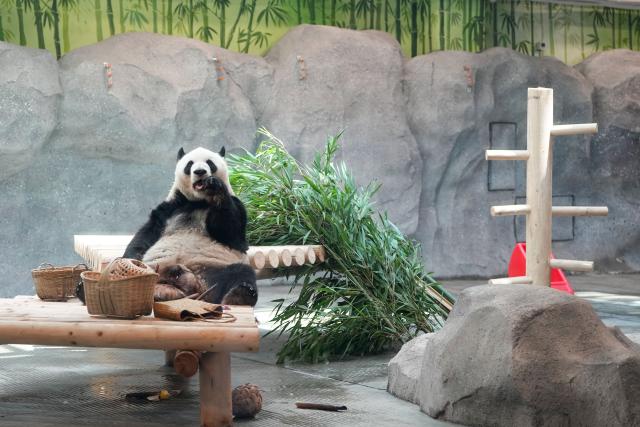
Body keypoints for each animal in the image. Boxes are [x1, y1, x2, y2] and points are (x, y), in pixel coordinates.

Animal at [121, 146, 258, 306]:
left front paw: (215, 187)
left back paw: (239, 295)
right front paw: (131, 261)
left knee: (240, 272)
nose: (200, 171)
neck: (198, 201)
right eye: (189, 164)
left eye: (210, 163)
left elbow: (232, 233)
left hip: (214, 269)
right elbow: (146, 234)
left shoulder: (237, 205)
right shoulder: (170, 208)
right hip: (155, 267)